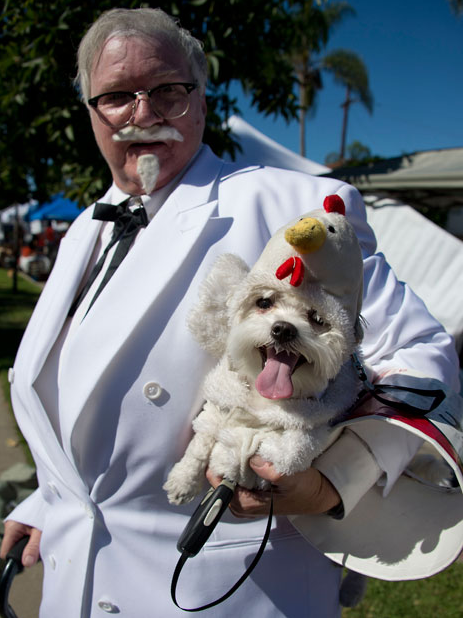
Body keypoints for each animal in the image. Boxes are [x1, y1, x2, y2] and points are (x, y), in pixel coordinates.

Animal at [165, 195, 368, 502]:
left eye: (317, 318)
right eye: (264, 302)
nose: (283, 329)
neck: (263, 402)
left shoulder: (306, 434)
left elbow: (285, 451)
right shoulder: (218, 408)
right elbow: (202, 440)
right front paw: (183, 480)